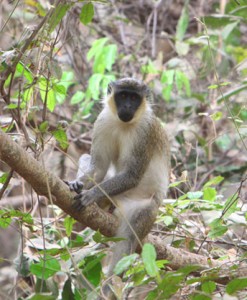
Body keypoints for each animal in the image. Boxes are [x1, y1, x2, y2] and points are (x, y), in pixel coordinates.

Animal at [68, 77, 171, 298]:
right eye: (123, 96)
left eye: (134, 98)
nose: (127, 107)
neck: (125, 124)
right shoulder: (102, 121)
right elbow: (98, 166)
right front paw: (78, 184)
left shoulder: (145, 132)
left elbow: (132, 175)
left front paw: (91, 195)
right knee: (88, 159)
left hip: (144, 209)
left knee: (127, 242)